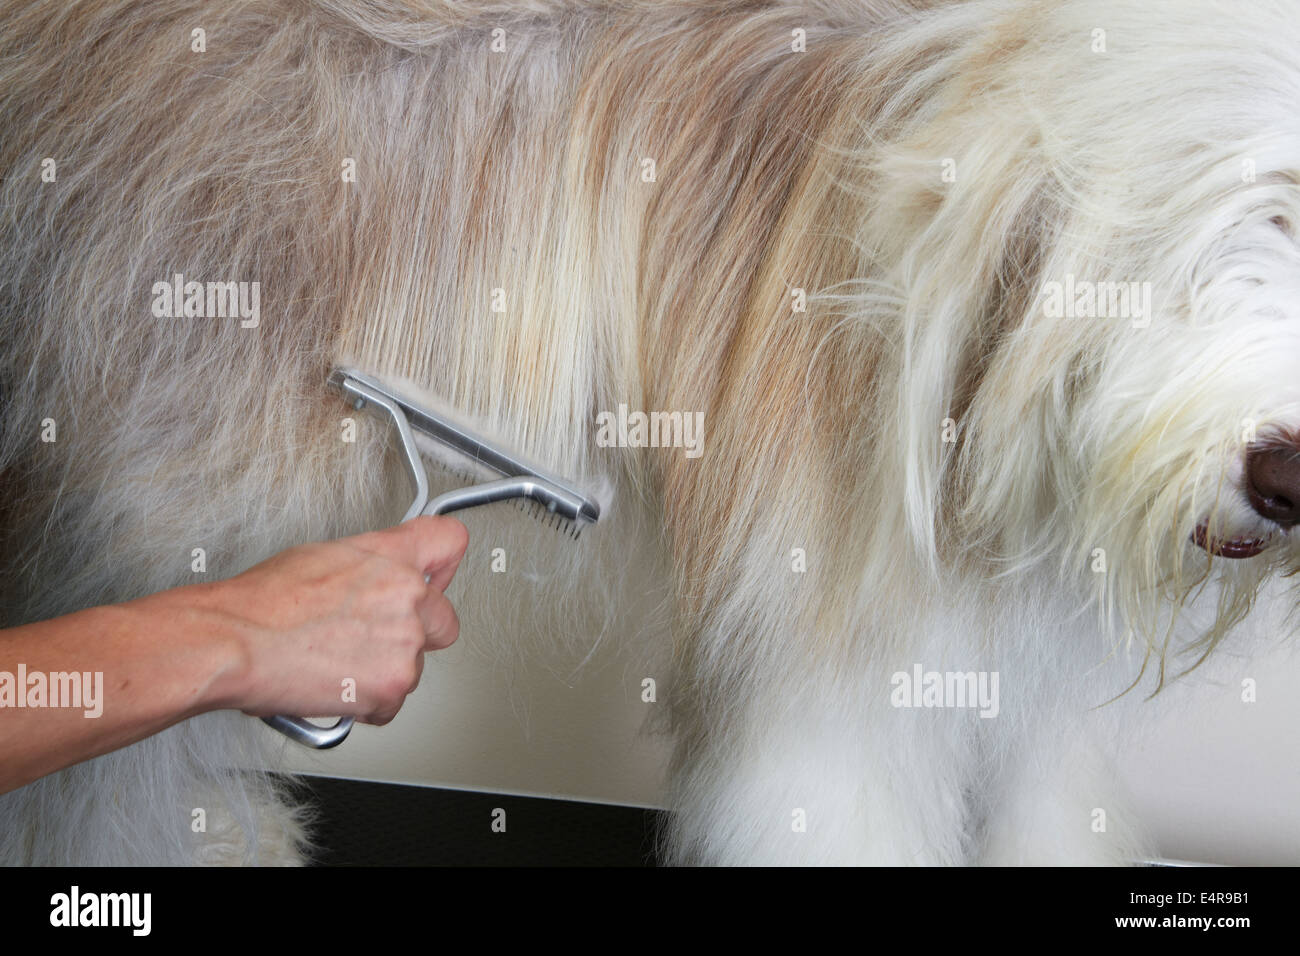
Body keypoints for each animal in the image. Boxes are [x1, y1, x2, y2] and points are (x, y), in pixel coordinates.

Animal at [2, 0, 1300, 868]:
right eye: (1231, 221)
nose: (1281, 474)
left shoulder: (1024, 685)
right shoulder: (834, 673)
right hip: (149, 480)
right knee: (99, 750)